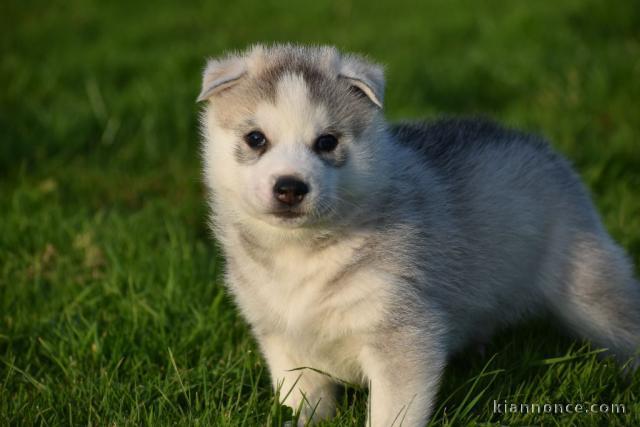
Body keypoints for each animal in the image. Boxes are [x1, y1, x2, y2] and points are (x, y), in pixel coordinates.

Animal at [198, 44, 636, 427]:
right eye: (256, 138)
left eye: (327, 142)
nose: (290, 187)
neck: (301, 252)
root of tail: (536, 143)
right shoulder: (280, 336)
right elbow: (302, 397)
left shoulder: (403, 333)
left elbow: (392, 412)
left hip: (589, 283)